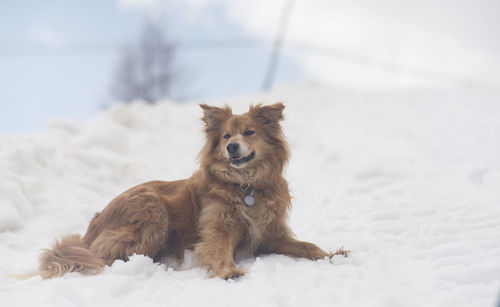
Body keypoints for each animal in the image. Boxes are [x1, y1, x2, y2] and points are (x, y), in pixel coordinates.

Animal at [39, 104, 346, 282]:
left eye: (249, 132)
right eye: (225, 137)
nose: (232, 147)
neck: (244, 184)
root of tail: (90, 230)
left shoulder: (270, 234)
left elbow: (308, 246)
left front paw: (332, 254)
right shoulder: (217, 230)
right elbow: (219, 250)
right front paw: (228, 270)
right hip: (152, 209)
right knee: (110, 256)